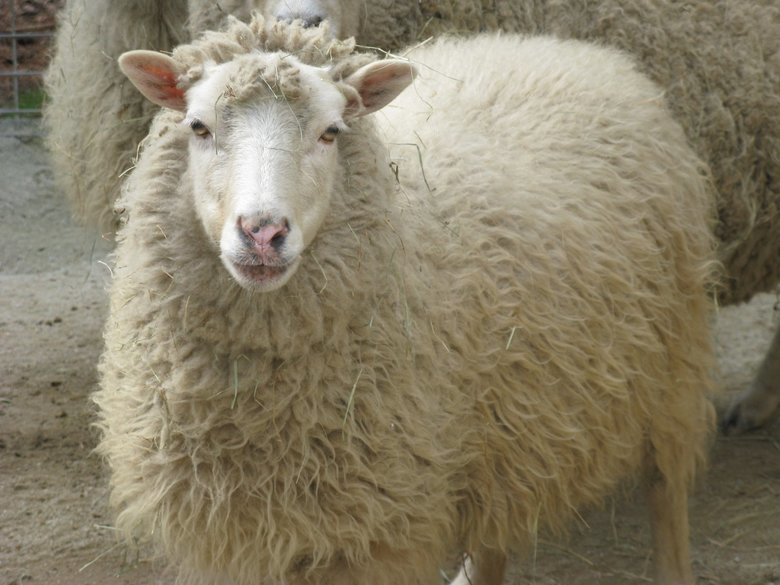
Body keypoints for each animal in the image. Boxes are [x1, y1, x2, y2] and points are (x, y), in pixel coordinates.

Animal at [95, 15, 718, 585]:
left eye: (332, 132)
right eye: (198, 126)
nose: (263, 233)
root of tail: (566, 48)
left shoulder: (377, 531)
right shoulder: (234, 532)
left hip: (671, 374)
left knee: (667, 495)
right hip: (507, 427)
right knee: (494, 536)